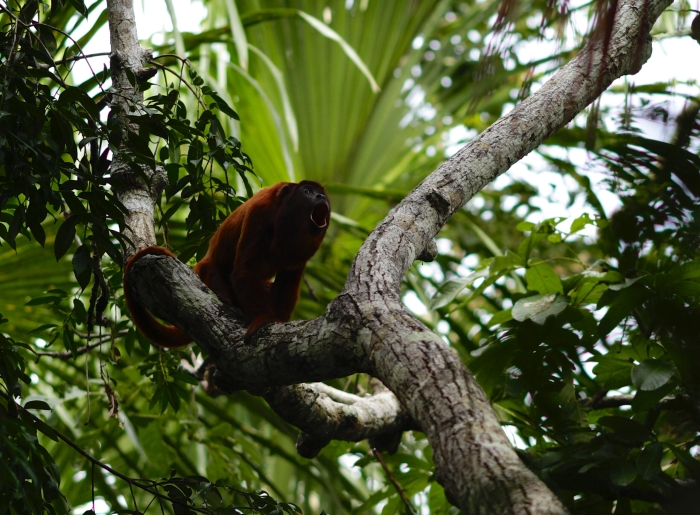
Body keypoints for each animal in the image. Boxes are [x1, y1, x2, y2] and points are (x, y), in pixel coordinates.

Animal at [123, 181, 331, 347]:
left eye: (321, 193)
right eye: (307, 191)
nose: (321, 196)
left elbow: (287, 282)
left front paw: (278, 321)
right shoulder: (260, 212)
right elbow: (244, 271)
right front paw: (266, 319)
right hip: (207, 271)